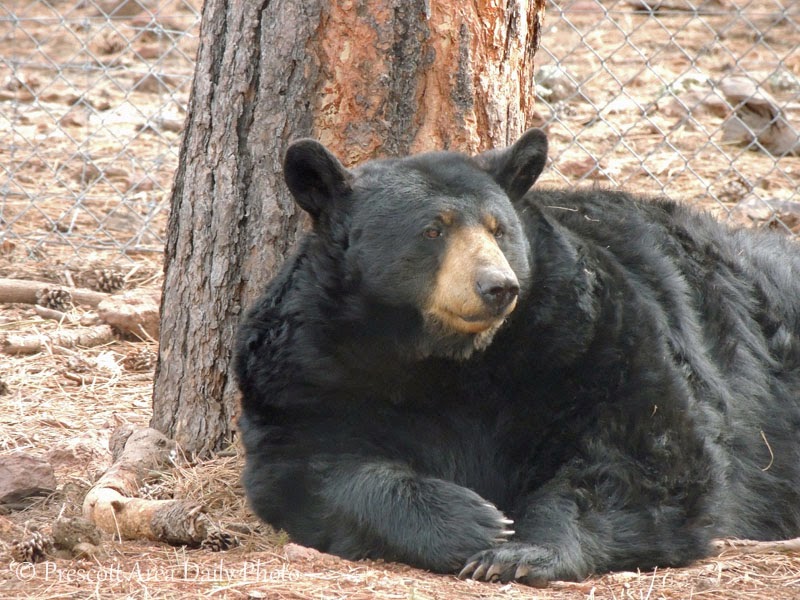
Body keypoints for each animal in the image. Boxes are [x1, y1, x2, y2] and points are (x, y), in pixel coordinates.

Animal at [234, 128, 800, 586]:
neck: (450, 358)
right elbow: (307, 469)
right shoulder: (307, 369)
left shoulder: (595, 340)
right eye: (433, 229)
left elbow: (650, 460)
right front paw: (473, 522)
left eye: (498, 228)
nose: (497, 286)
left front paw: (522, 551)